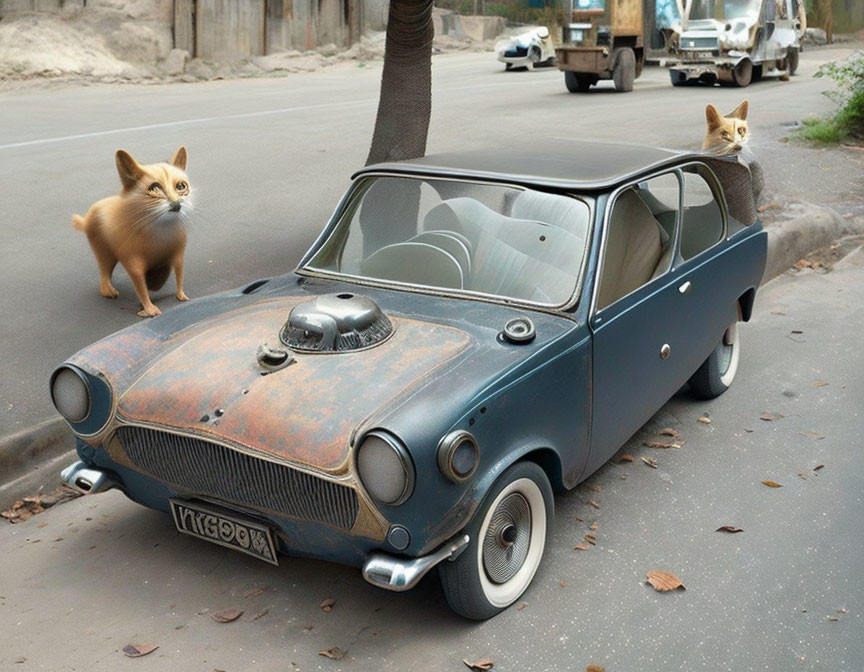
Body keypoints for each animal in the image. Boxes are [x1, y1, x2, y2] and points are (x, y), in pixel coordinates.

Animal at [73, 148, 192, 316]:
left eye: (181, 186)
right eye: (155, 188)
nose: (177, 204)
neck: (161, 228)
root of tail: (86, 219)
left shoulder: (178, 254)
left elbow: (179, 274)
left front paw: (181, 295)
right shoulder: (133, 262)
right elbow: (140, 287)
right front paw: (149, 310)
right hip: (102, 250)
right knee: (104, 271)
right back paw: (108, 291)